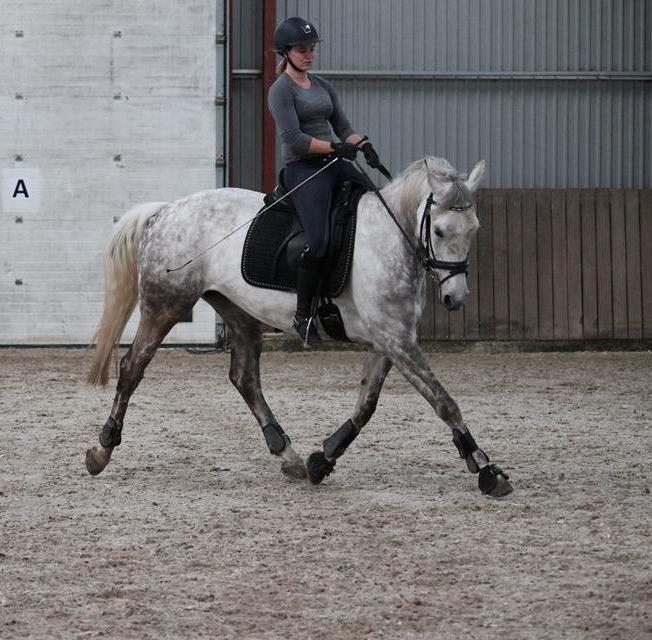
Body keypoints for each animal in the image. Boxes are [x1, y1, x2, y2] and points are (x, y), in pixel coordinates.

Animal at [86, 158, 512, 498]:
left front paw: (321, 460)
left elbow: (366, 406)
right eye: (439, 231)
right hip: (165, 306)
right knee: (133, 367)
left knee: (245, 378)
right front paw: (486, 469)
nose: (455, 297)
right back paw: (101, 450)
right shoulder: (396, 340)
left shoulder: (389, 340)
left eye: (474, 228)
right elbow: (443, 402)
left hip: (239, 312)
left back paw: (287, 454)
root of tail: (166, 210)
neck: (389, 240)